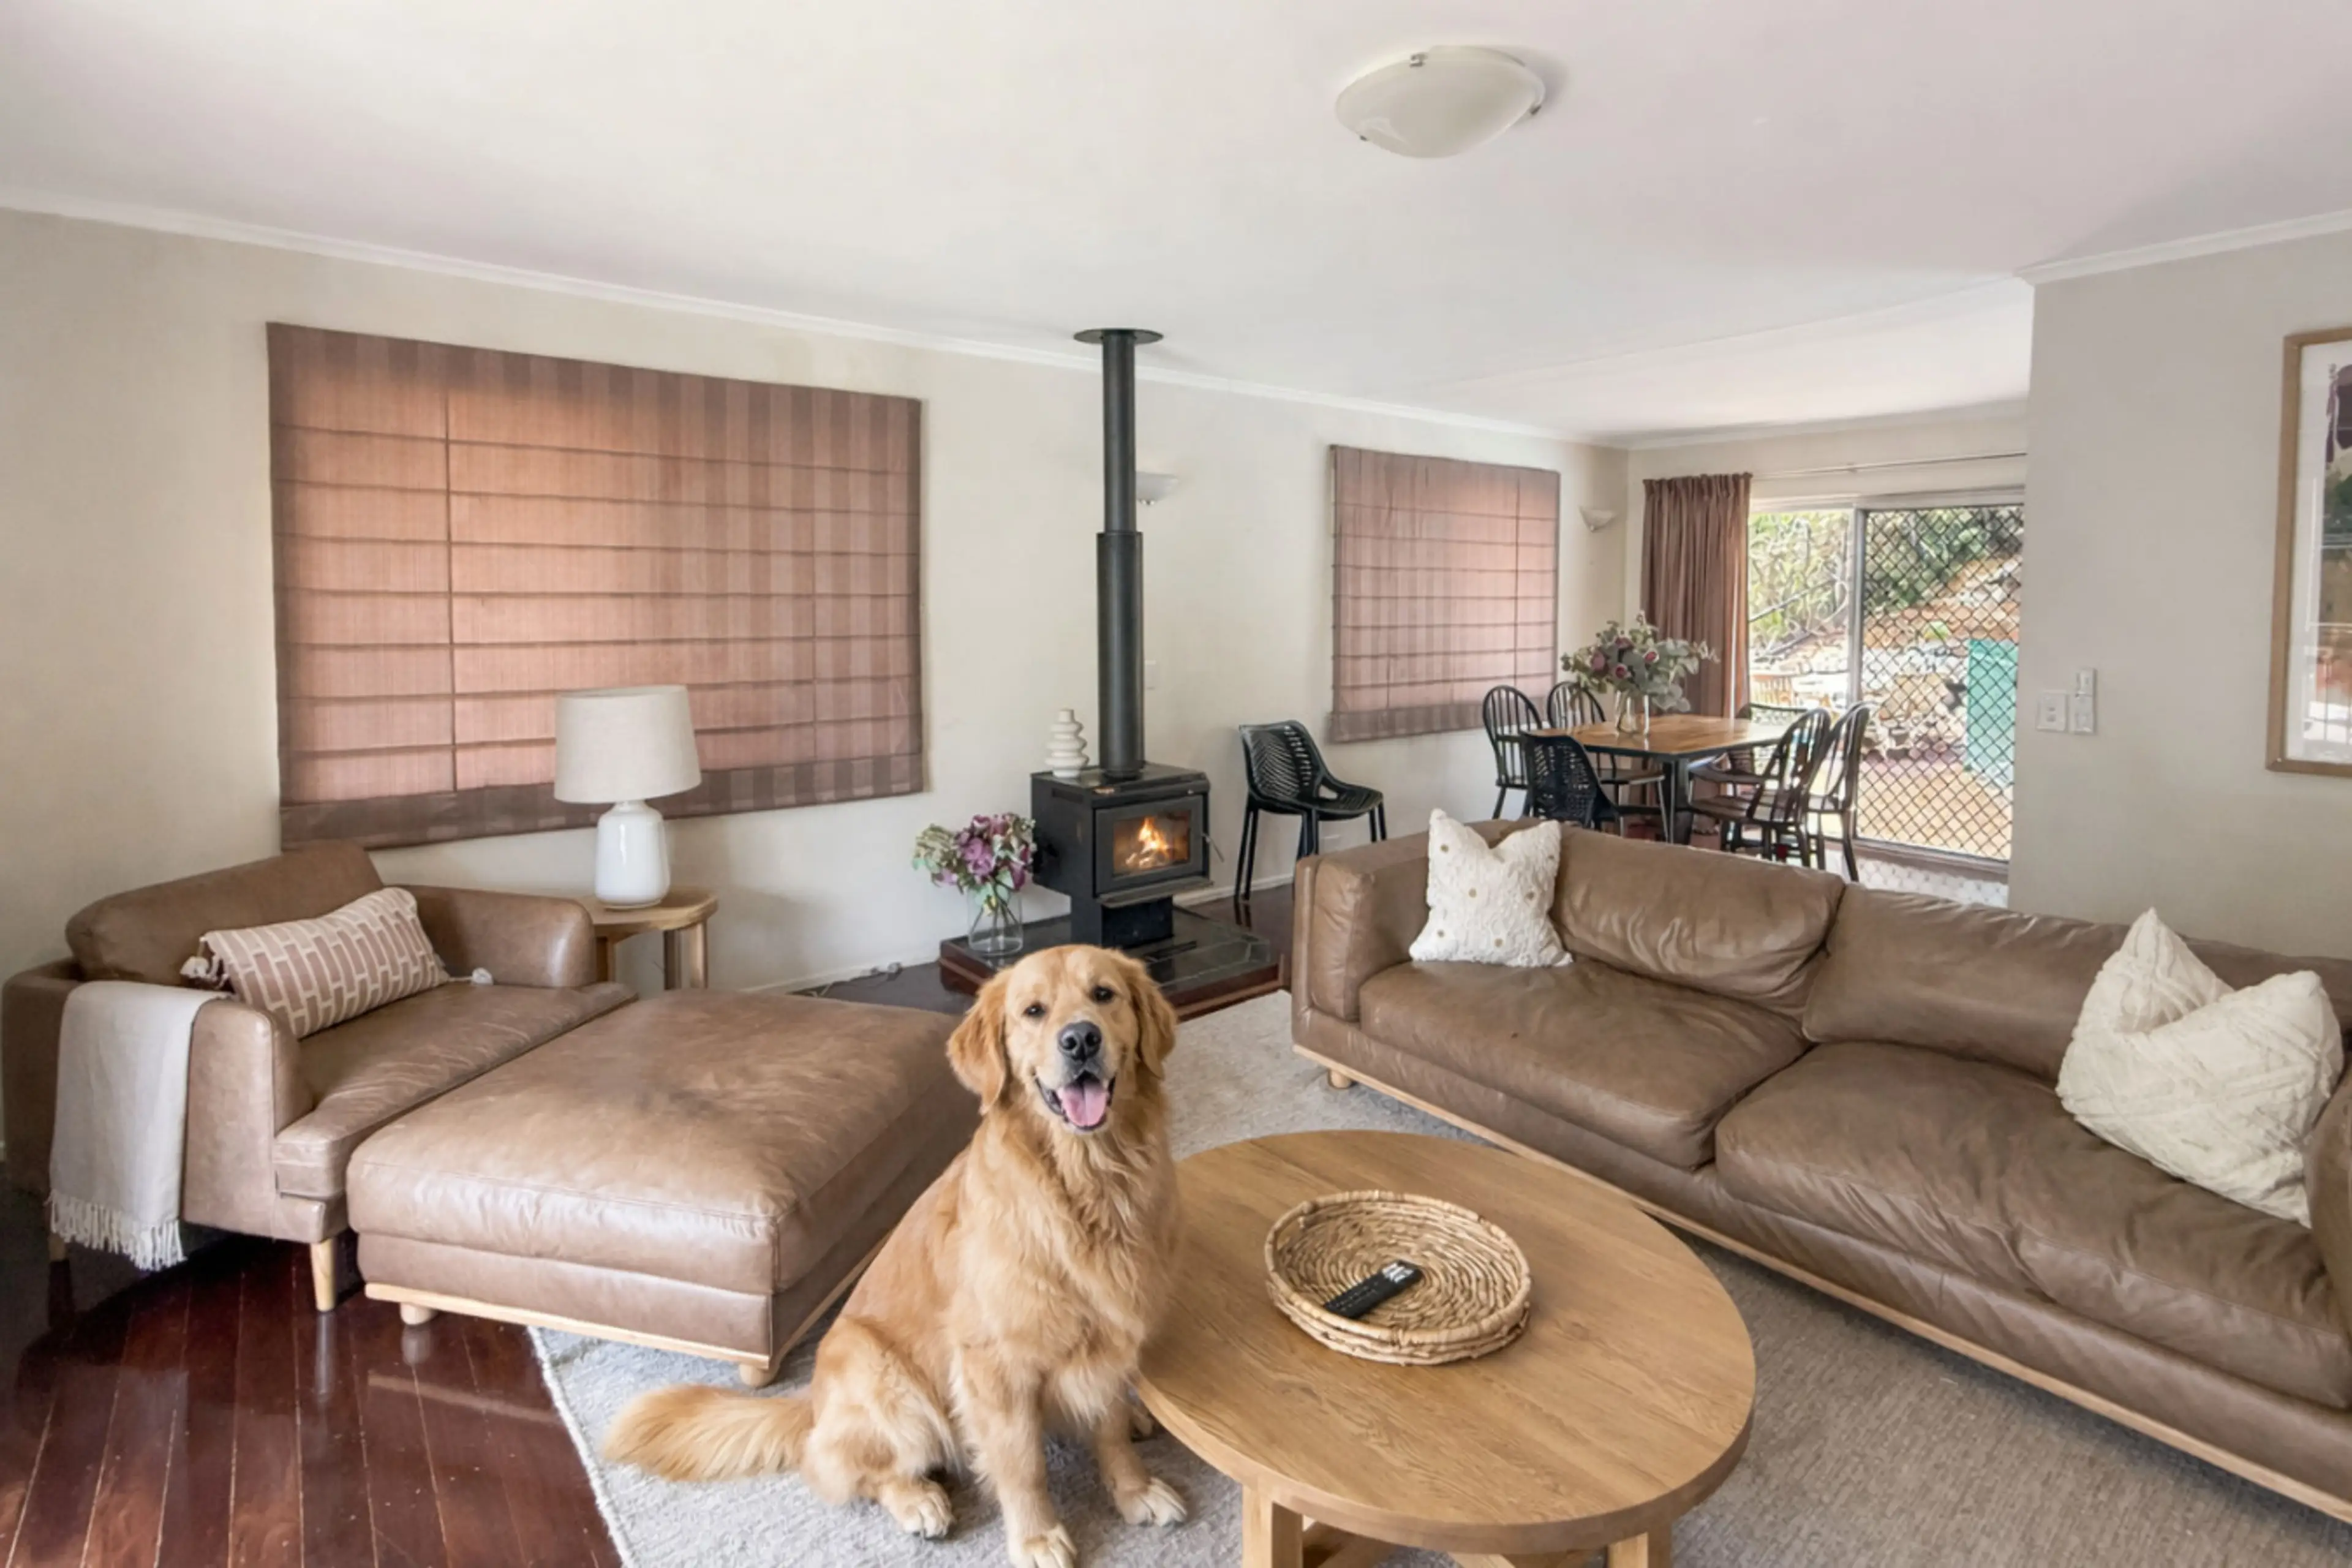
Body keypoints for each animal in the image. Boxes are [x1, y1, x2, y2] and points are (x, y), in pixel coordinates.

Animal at [602, 944, 1187, 1568]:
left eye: (1104, 995)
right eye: (1034, 1011)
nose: (1080, 1040)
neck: (1091, 1184)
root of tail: (812, 1402)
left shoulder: (1110, 1334)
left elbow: (1109, 1430)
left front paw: (1135, 1490)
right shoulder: (992, 1366)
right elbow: (1021, 1464)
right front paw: (1036, 1537)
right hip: (886, 1379)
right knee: (838, 1466)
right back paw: (918, 1501)